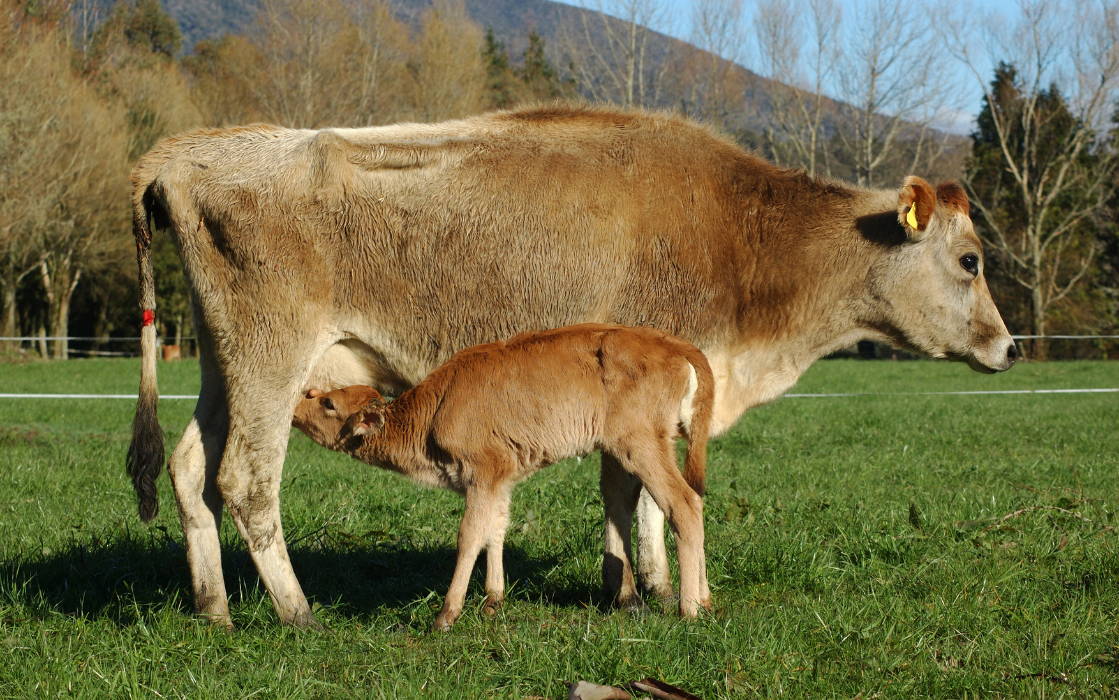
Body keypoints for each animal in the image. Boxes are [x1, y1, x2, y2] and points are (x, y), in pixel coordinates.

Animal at [293, 324, 711, 630]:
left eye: (327, 402)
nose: (295, 406)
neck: (434, 409)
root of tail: (673, 344)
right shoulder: (500, 479)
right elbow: (495, 529)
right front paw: (493, 600)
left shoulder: (481, 474)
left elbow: (469, 535)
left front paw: (446, 615)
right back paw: (705, 601)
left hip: (640, 446)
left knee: (684, 504)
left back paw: (689, 608)